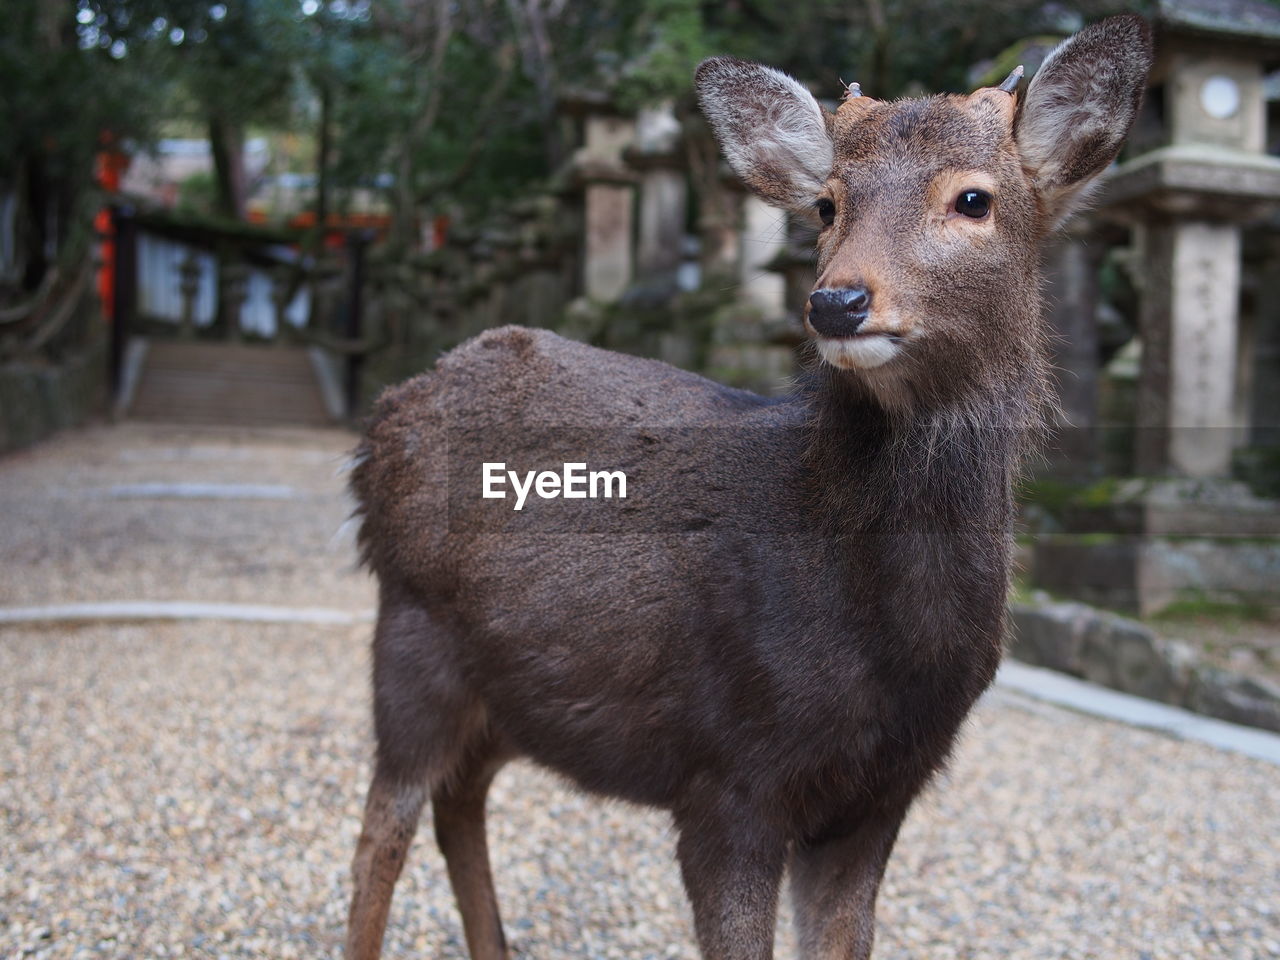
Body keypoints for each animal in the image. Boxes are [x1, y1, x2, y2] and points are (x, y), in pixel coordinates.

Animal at [345, 15, 1157, 960]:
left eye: (974, 199)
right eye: (827, 205)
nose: (837, 302)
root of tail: (383, 422)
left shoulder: (884, 792)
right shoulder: (729, 774)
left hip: (511, 691)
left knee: (459, 800)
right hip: (411, 636)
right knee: (384, 825)